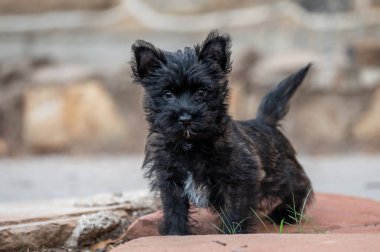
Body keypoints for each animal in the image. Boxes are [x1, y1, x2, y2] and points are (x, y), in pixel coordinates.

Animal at [129, 31, 314, 234]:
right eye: (167, 94)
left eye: (201, 92)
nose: (185, 117)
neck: (191, 144)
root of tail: (264, 121)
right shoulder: (170, 180)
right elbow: (173, 208)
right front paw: (176, 233)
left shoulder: (239, 177)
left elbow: (235, 208)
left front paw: (232, 232)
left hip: (281, 174)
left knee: (300, 187)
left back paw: (285, 214)